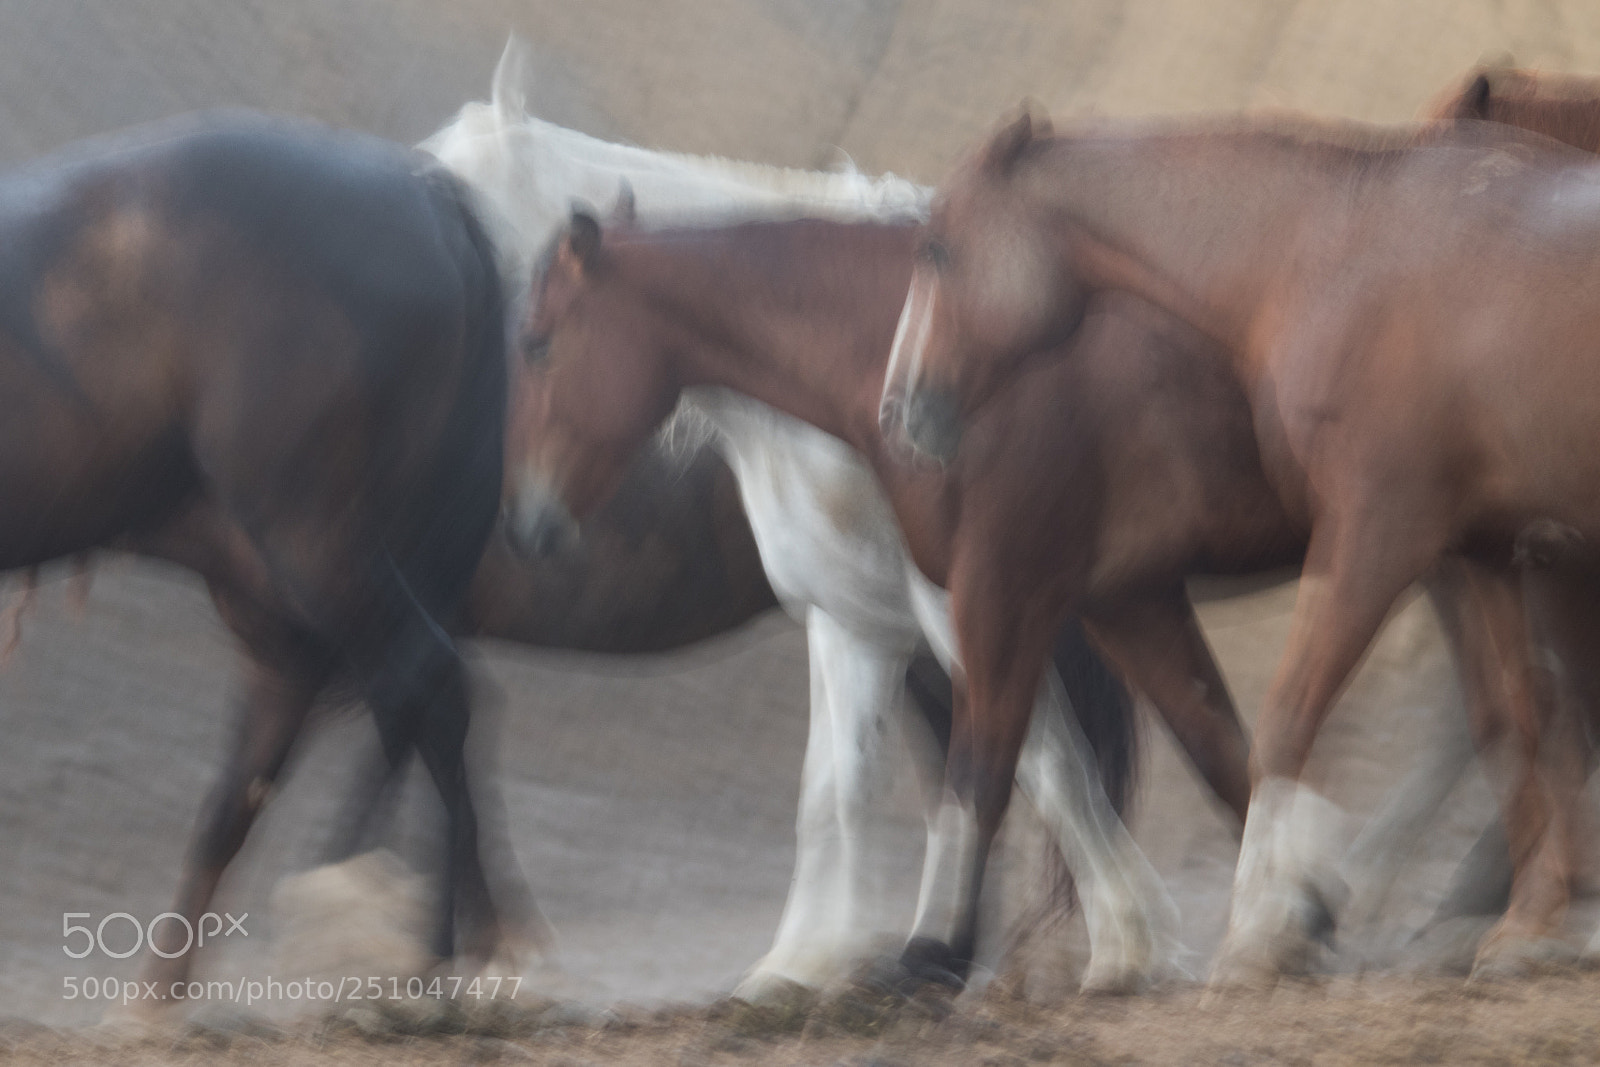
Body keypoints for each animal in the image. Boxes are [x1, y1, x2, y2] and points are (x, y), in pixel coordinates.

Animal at [0, 109, 511, 998]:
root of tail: (424, 195)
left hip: (314, 538)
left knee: (422, 679)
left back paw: (428, 947)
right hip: (284, 588)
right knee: (274, 760)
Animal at [430, 42, 1179, 996]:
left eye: (444, 195)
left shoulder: (956, 607)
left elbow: (1046, 757)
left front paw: (1129, 942)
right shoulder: (851, 615)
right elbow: (835, 789)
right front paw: (806, 960)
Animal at [885, 108, 1600, 982]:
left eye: (936, 249)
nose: (898, 409)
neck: (1341, 251)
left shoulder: (1376, 535)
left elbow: (1287, 718)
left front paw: (1261, 929)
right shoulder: (1482, 551)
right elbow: (1519, 722)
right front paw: (1534, 922)